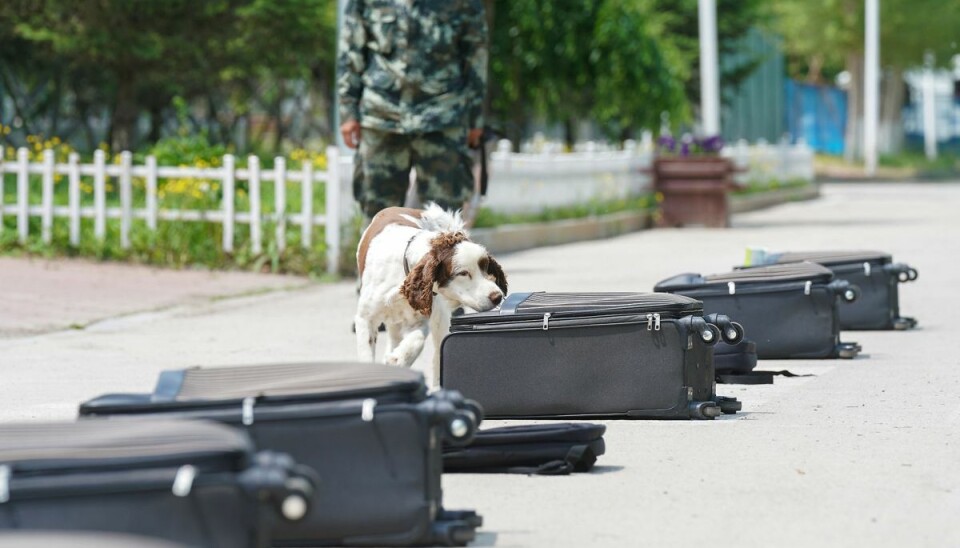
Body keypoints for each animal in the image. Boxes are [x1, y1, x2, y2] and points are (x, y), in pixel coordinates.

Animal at [356, 203, 510, 388]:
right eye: (463, 273)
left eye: (485, 267)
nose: (497, 296)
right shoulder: (365, 318)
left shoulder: (421, 316)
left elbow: (417, 340)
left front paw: (397, 359)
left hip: (440, 319)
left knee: (438, 353)